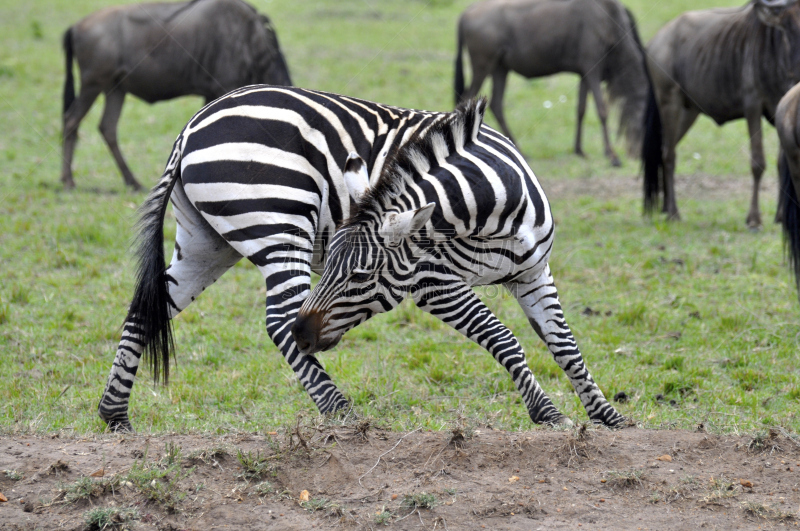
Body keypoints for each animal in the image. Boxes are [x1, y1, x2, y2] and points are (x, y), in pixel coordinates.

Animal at [97, 84, 450, 432]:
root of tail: (189, 129)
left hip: (205, 245)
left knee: (147, 308)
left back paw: (115, 414)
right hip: (281, 222)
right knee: (283, 318)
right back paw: (341, 413)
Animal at [290, 97, 628, 428]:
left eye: (361, 276)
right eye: (330, 266)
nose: (301, 335)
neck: (493, 219)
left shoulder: (534, 273)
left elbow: (565, 345)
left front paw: (607, 415)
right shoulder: (435, 285)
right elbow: (502, 338)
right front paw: (548, 412)